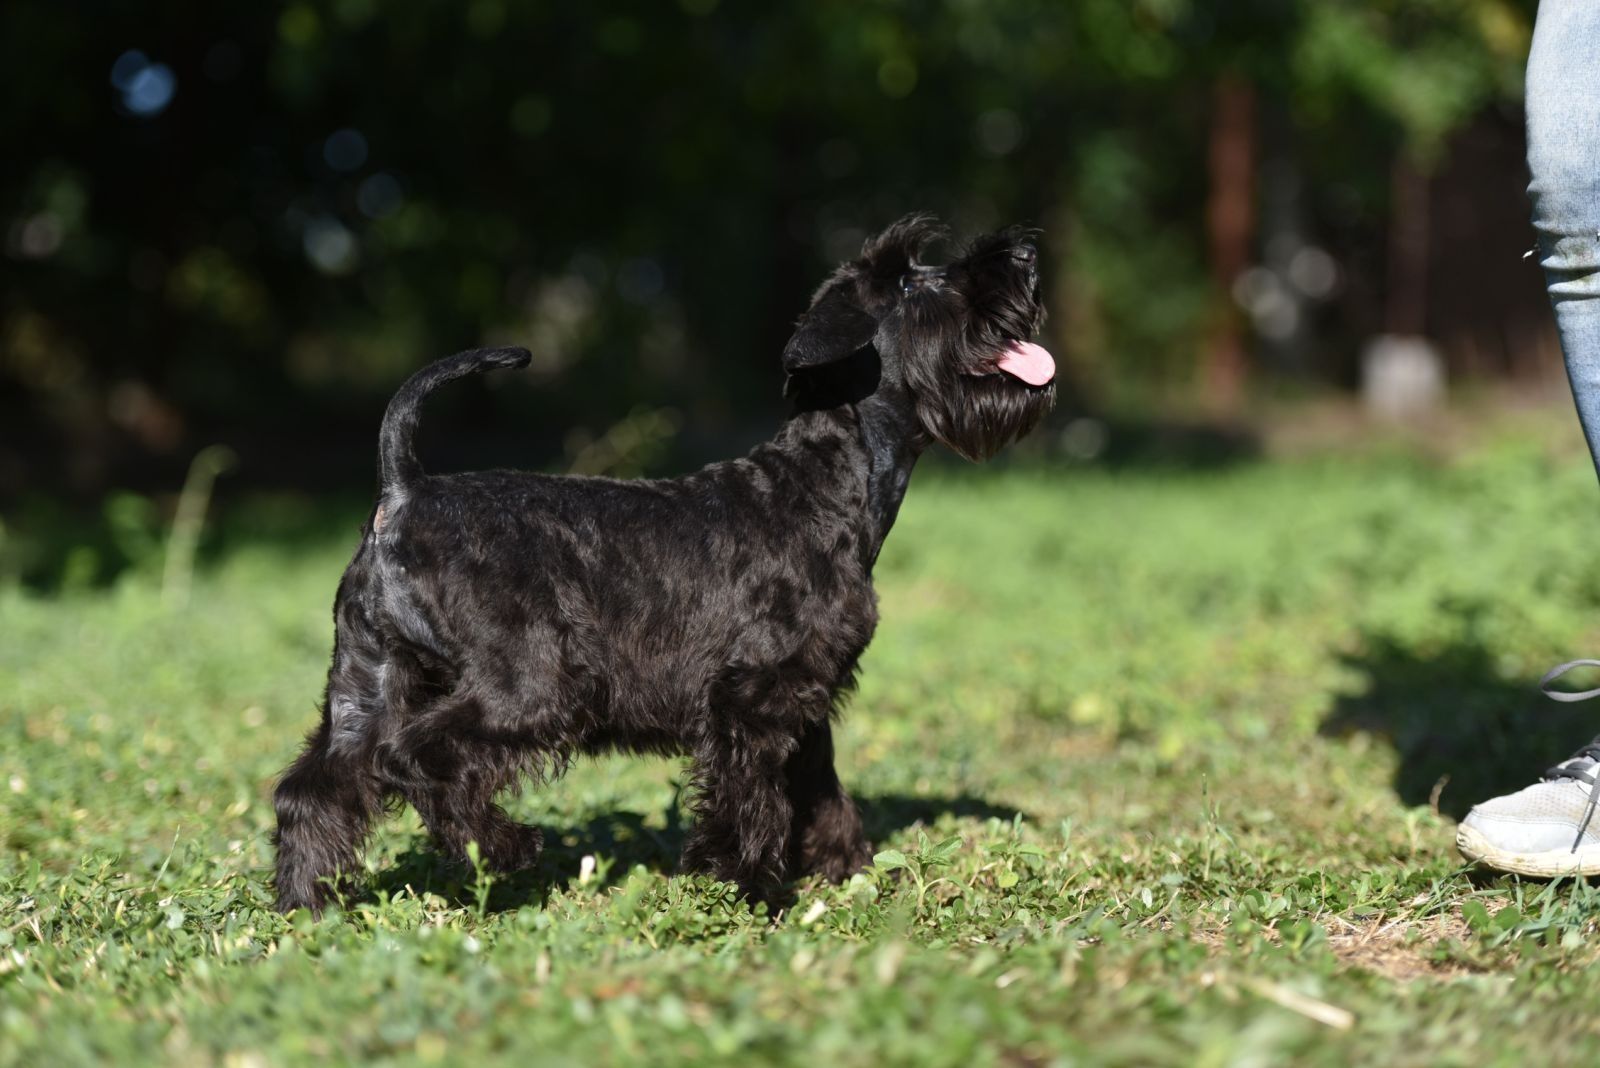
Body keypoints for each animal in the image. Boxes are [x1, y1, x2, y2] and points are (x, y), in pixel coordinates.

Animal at [273, 214, 1049, 908]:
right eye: (915, 286)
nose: (1025, 252)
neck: (825, 484)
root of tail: (402, 489)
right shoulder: (753, 699)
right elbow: (752, 799)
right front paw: (747, 889)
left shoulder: (805, 699)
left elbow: (820, 790)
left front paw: (845, 870)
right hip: (533, 686)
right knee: (415, 756)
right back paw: (504, 848)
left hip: (367, 681)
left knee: (317, 788)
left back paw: (308, 903)